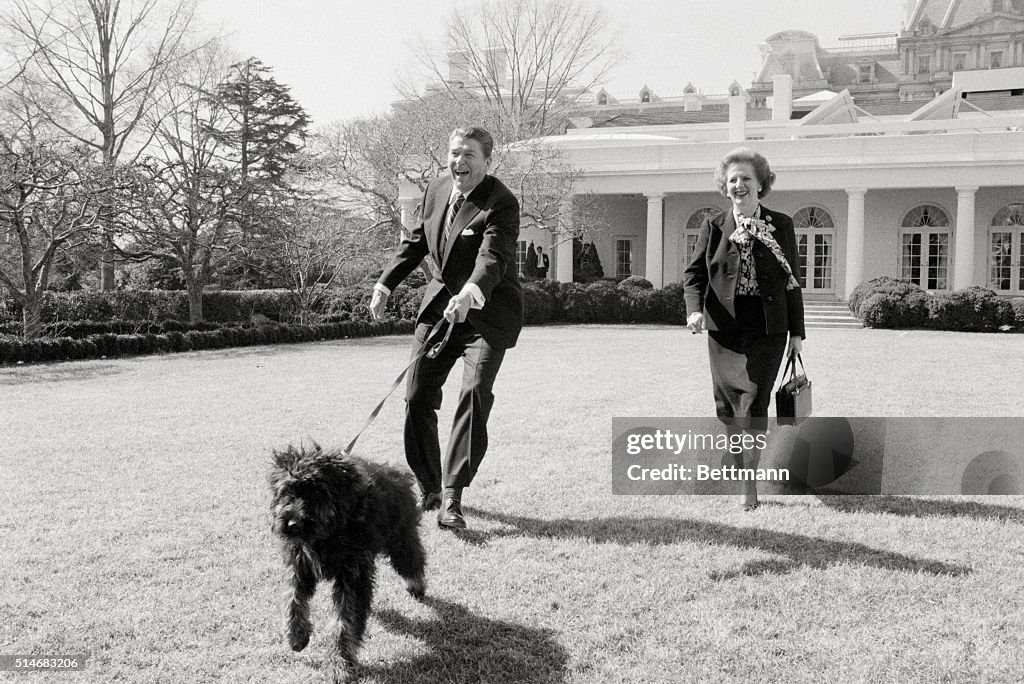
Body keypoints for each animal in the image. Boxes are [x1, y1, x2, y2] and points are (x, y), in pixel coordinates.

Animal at [270, 444, 425, 679]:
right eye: (287, 491)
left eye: (317, 492)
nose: (292, 524)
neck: (327, 535)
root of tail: (397, 471)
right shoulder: (300, 565)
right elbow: (292, 597)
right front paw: (296, 635)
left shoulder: (353, 575)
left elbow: (345, 621)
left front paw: (339, 664)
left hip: (401, 537)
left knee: (412, 559)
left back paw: (416, 584)